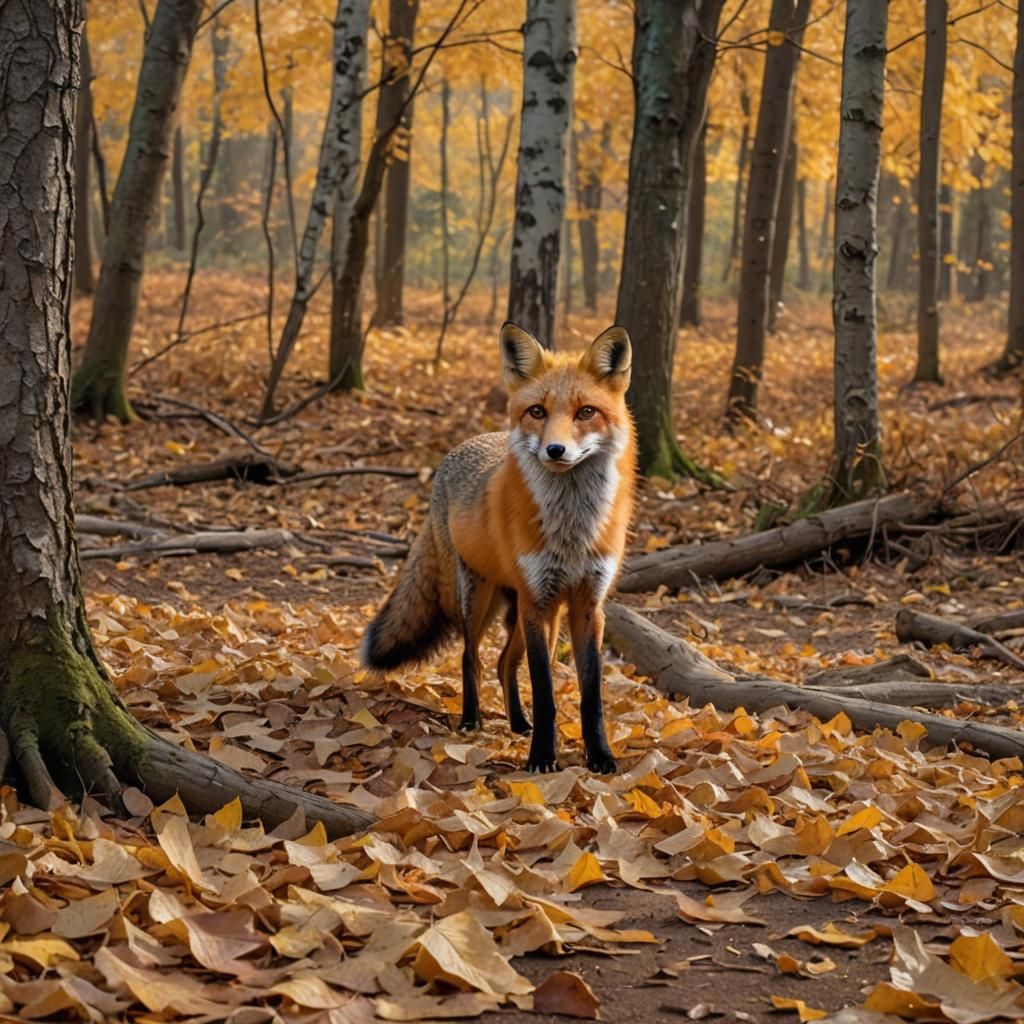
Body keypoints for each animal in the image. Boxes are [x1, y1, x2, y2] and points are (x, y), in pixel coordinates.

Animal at [361, 322, 636, 774]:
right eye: (537, 412)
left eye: (586, 412)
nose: (555, 450)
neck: (571, 531)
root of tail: (465, 445)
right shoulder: (536, 601)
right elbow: (545, 695)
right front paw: (542, 757)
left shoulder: (587, 605)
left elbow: (591, 697)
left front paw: (600, 756)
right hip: (480, 600)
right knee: (470, 658)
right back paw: (472, 720)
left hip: (532, 615)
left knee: (504, 663)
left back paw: (518, 723)